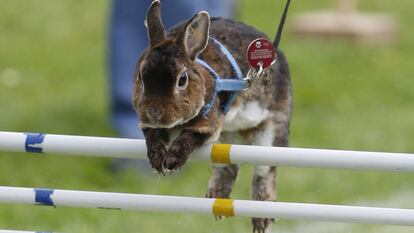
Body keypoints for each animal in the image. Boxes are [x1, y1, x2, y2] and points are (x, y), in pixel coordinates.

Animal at [132, 0, 292, 232]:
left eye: (182, 80)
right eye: (141, 76)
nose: (154, 113)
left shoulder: (210, 125)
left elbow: (188, 137)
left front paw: (170, 163)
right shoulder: (153, 127)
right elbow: (153, 137)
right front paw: (157, 159)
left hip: (269, 135)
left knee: (264, 172)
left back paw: (261, 218)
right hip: (227, 141)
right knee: (228, 166)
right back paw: (216, 196)